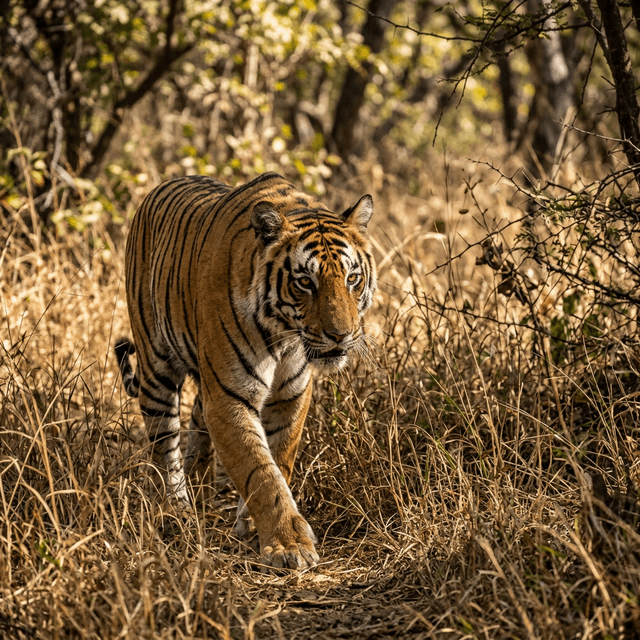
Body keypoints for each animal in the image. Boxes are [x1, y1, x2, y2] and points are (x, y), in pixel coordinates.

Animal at [115, 171, 376, 569]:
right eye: (305, 282)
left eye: (352, 278)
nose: (341, 335)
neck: (284, 335)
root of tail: (160, 186)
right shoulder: (229, 396)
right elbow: (259, 470)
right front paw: (289, 545)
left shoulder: (290, 396)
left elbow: (278, 461)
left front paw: (252, 528)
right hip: (155, 368)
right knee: (164, 448)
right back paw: (177, 512)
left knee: (196, 424)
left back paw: (203, 487)